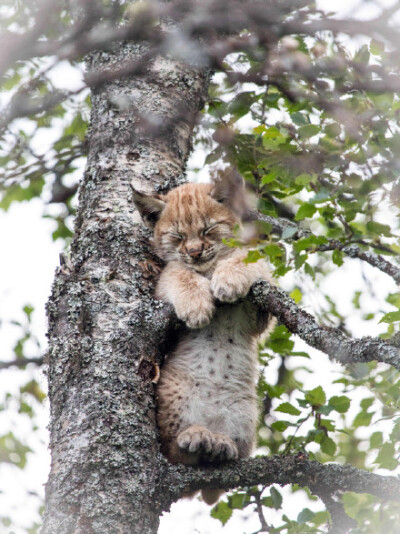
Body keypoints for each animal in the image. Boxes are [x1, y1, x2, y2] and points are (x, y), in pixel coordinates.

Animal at [133, 180, 274, 506]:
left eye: (208, 230)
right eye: (178, 237)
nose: (195, 252)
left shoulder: (262, 314)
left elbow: (247, 257)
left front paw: (229, 278)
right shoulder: (161, 292)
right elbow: (177, 272)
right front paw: (197, 305)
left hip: (245, 411)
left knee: (217, 484)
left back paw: (220, 445)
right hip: (173, 395)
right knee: (173, 456)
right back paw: (195, 437)